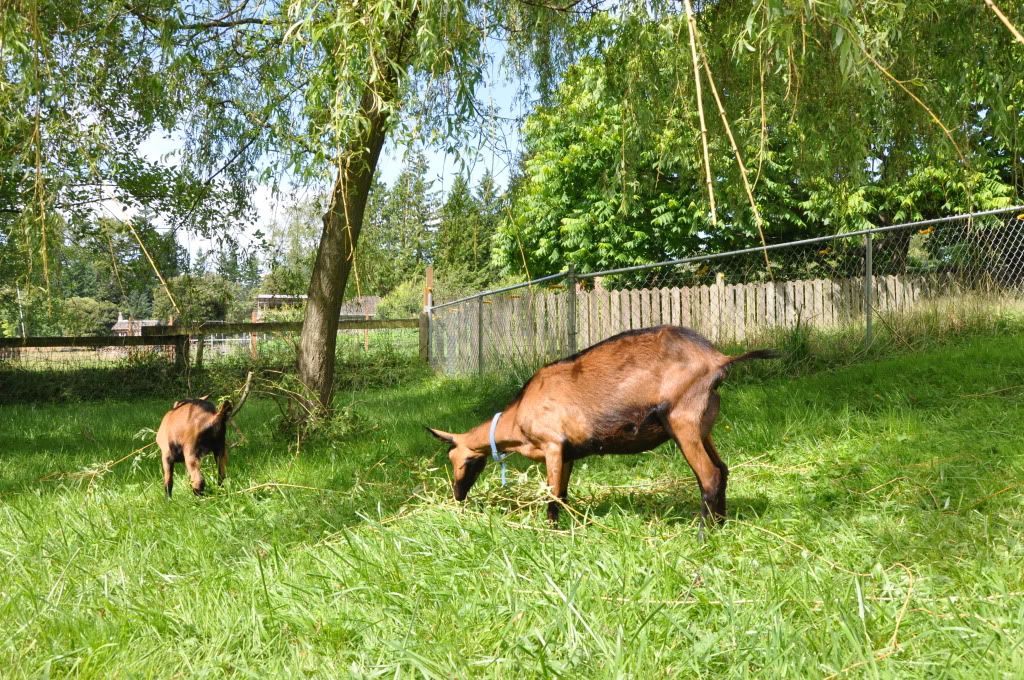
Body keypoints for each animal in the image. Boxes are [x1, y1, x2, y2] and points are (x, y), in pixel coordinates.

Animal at [428, 325, 778, 530]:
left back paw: (704, 535)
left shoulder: (552, 444)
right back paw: (722, 525)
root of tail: (718, 360)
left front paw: (548, 532)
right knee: (723, 469)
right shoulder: (567, 452)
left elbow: (551, 496)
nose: (458, 495)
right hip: (704, 426)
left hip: (683, 421)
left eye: (458, 460)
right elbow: (562, 493)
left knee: (710, 476)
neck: (517, 416)